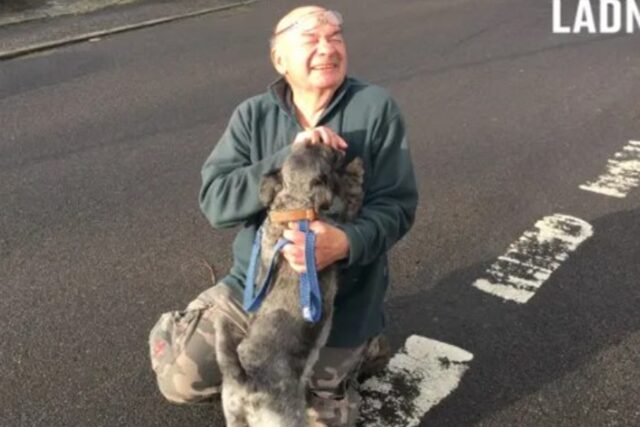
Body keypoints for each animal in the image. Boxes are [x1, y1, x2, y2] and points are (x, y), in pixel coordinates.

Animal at [215, 144, 364, 427]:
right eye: (327, 154)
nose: (338, 145)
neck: (294, 207)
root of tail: (247, 382)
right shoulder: (337, 227)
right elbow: (350, 200)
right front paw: (355, 170)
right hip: (287, 418)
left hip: (234, 415)